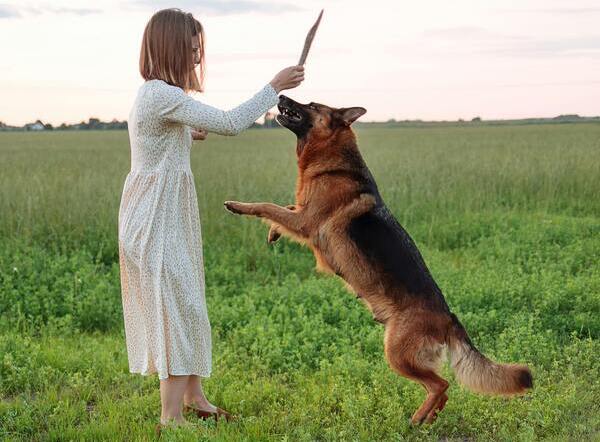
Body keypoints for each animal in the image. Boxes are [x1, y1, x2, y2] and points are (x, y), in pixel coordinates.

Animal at [223, 96, 532, 424]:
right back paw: (428, 419)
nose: (280, 96)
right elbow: (284, 206)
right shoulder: (302, 214)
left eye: (312, 104)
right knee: (442, 389)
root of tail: (449, 318)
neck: (331, 162)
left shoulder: (306, 222)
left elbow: (268, 205)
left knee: (441, 384)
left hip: (395, 354)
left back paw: (416, 419)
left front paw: (238, 206)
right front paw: (273, 232)